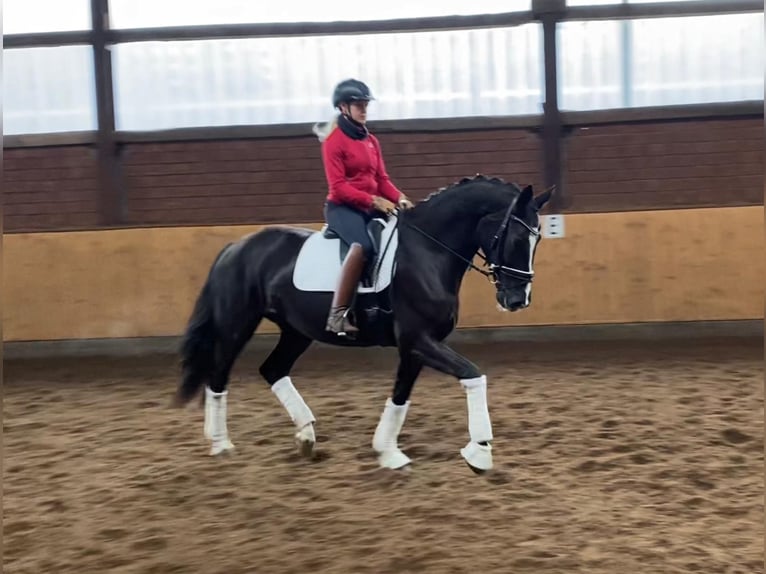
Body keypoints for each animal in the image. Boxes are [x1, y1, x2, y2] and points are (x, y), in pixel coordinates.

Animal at [173, 176, 556, 472]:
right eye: (517, 238)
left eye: (538, 238)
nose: (517, 300)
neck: (428, 253)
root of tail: (235, 247)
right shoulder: (419, 339)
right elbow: (474, 375)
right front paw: (479, 452)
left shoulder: (415, 346)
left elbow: (400, 396)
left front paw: (388, 452)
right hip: (237, 324)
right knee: (218, 375)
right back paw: (221, 444)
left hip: (296, 332)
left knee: (273, 369)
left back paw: (306, 437)